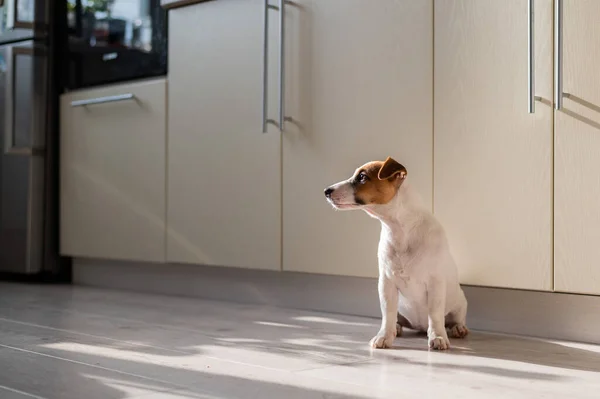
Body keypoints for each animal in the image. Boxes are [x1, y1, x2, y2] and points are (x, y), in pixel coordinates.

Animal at [324, 158, 468, 352]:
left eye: (362, 177)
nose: (326, 191)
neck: (400, 230)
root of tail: (420, 326)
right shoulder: (387, 284)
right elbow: (388, 313)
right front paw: (384, 336)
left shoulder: (436, 283)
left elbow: (436, 314)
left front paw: (438, 337)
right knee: (395, 319)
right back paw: (397, 328)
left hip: (460, 302)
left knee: (454, 318)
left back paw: (458, 328)